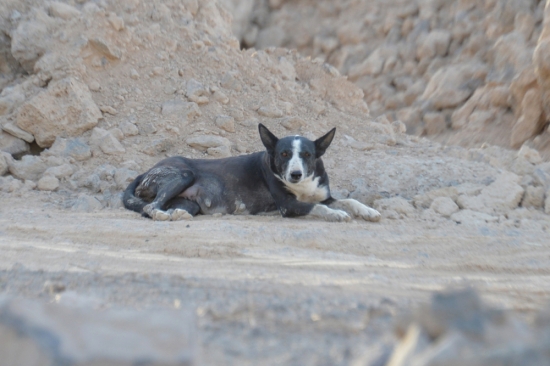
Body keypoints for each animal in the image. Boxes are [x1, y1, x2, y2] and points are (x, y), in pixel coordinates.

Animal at [124, 123, 384, 223]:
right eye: (284, 154)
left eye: (307, 155)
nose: (295, 174)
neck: (301, 186)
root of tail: (146, 171)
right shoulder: (288, 205)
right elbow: (318, 207)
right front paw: (336, 214)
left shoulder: (323, 194)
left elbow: (348, 200)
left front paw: (369, 211)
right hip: (183, 175)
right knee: (150, 207)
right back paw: (163, 215)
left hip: (190, 202)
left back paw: (177, 214)